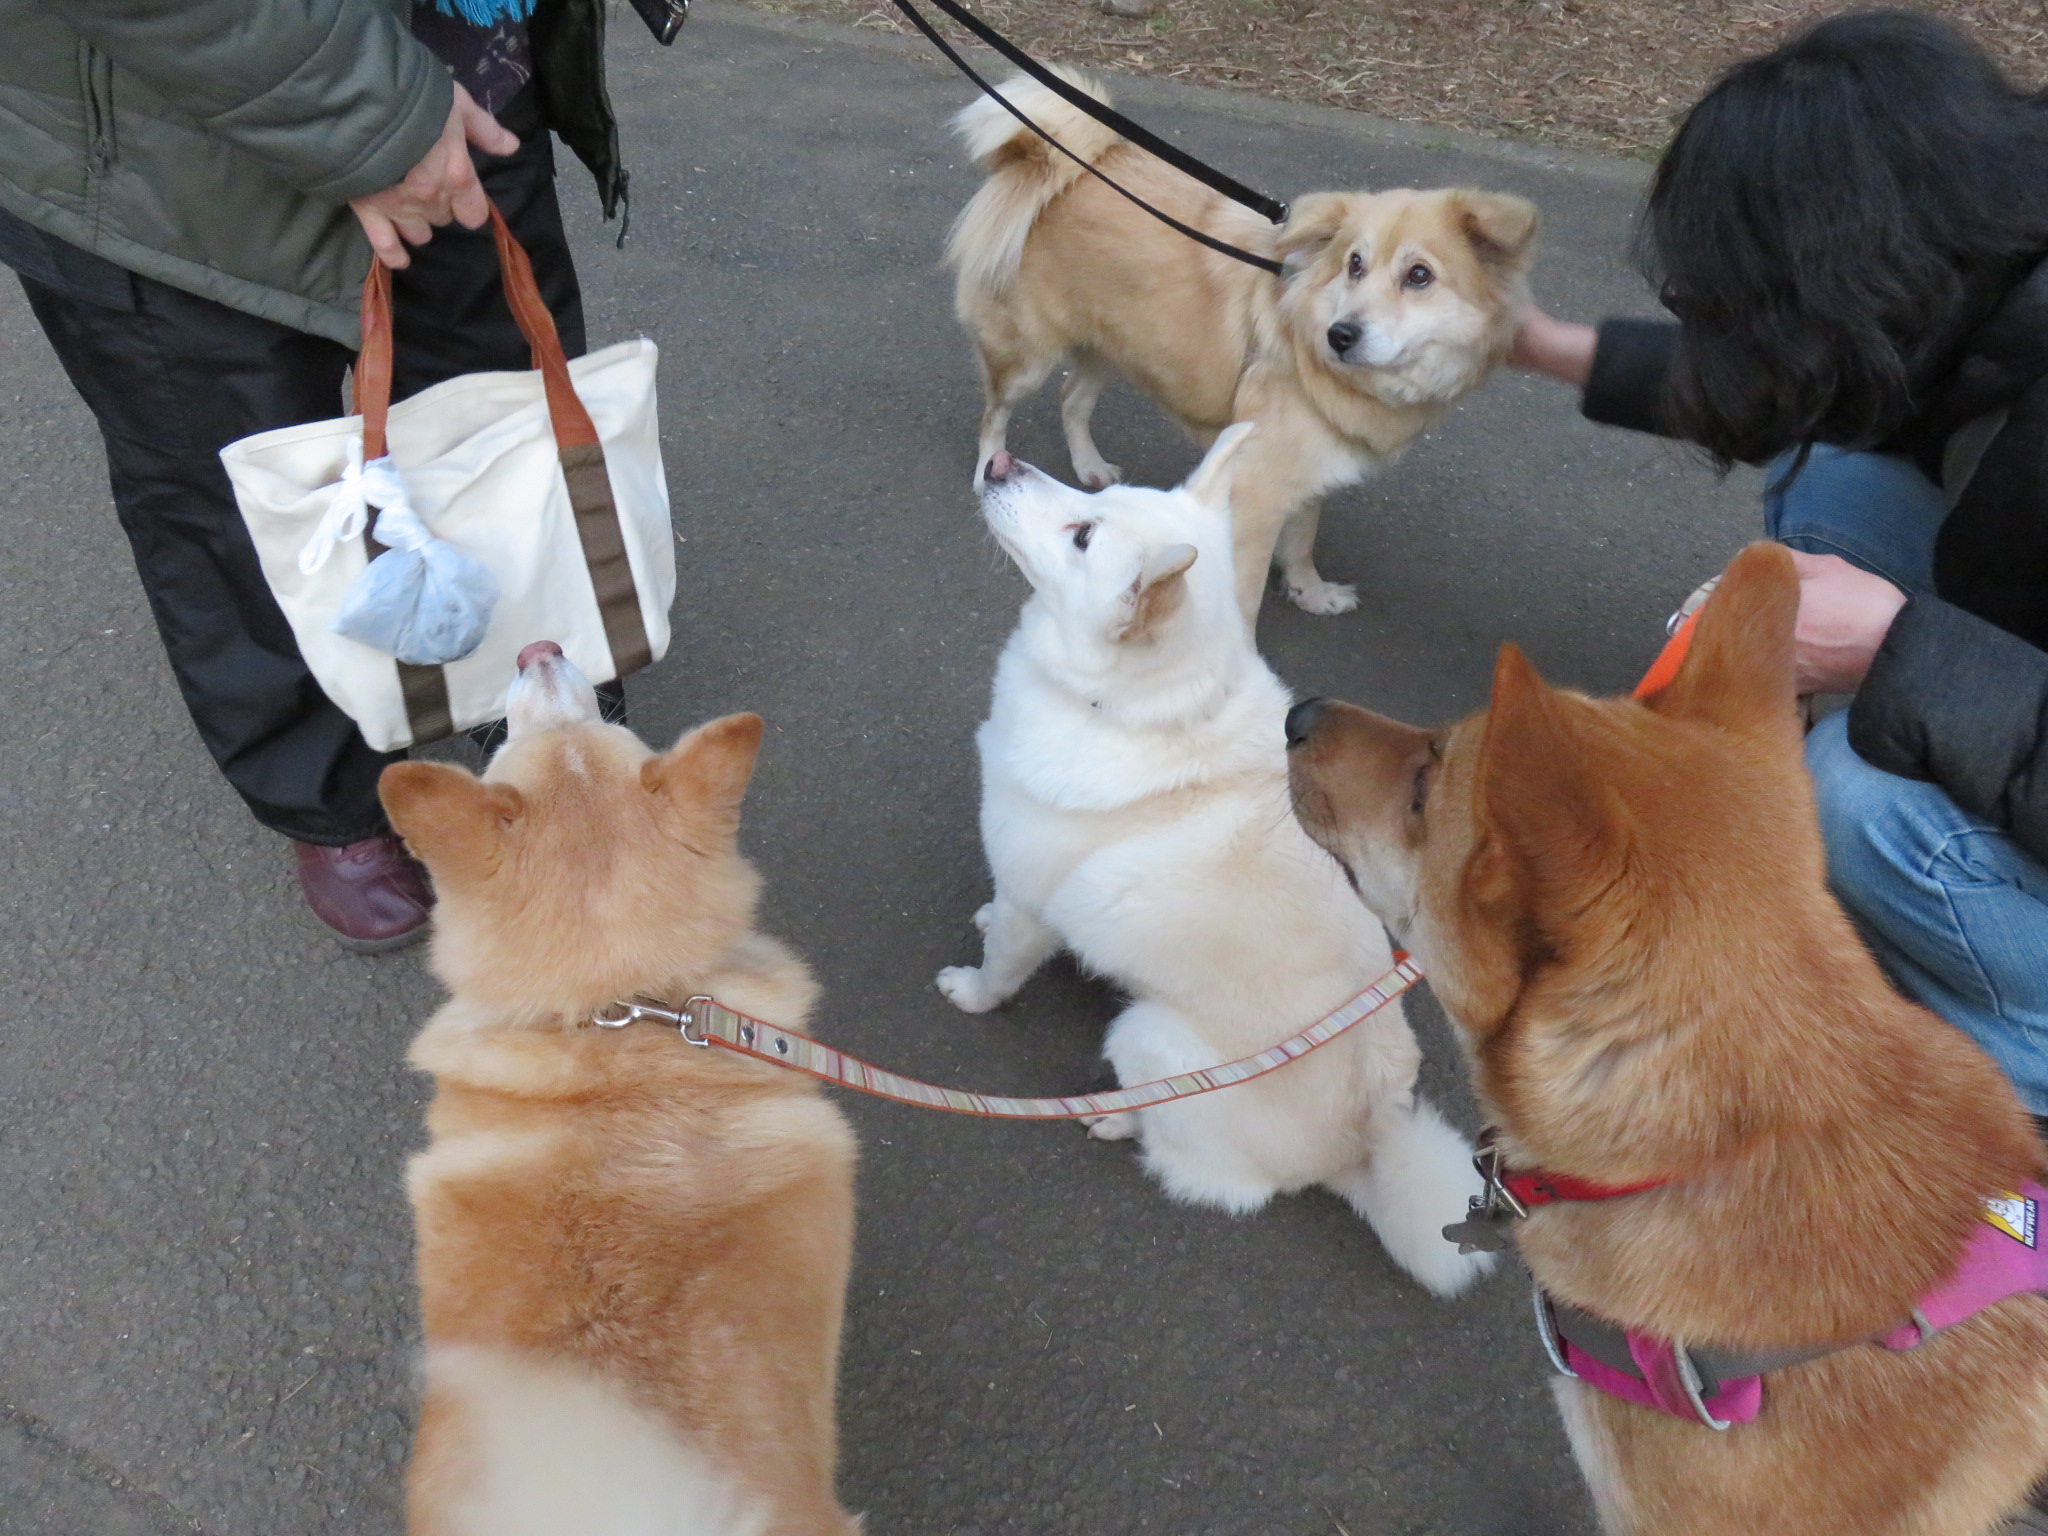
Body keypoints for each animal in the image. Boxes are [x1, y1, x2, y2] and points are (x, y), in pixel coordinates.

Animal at [935, 424, 1490, 1298]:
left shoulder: (1033, 903)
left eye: (1083, 535)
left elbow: (1000, 972)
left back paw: (1111, 1118)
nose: (998, 464)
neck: (1126, 709)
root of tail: (1359, 1144)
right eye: (1093, 500)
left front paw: (970, 993)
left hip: (1144, 1033)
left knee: (1189, 1156)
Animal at [945, 70, 1537, 623]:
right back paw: (988, 470)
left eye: (1420, 276)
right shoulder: (1253, 498)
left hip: (1113, 345)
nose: (1340, 335)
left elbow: (1301, 543)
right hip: (1026, 356)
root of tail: (1054, 161)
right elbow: (1246, 592)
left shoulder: (1306, 482)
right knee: (996, 412)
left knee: (1072, 400)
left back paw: (1090, 469)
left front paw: (1310, 593)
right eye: (1355, 264)